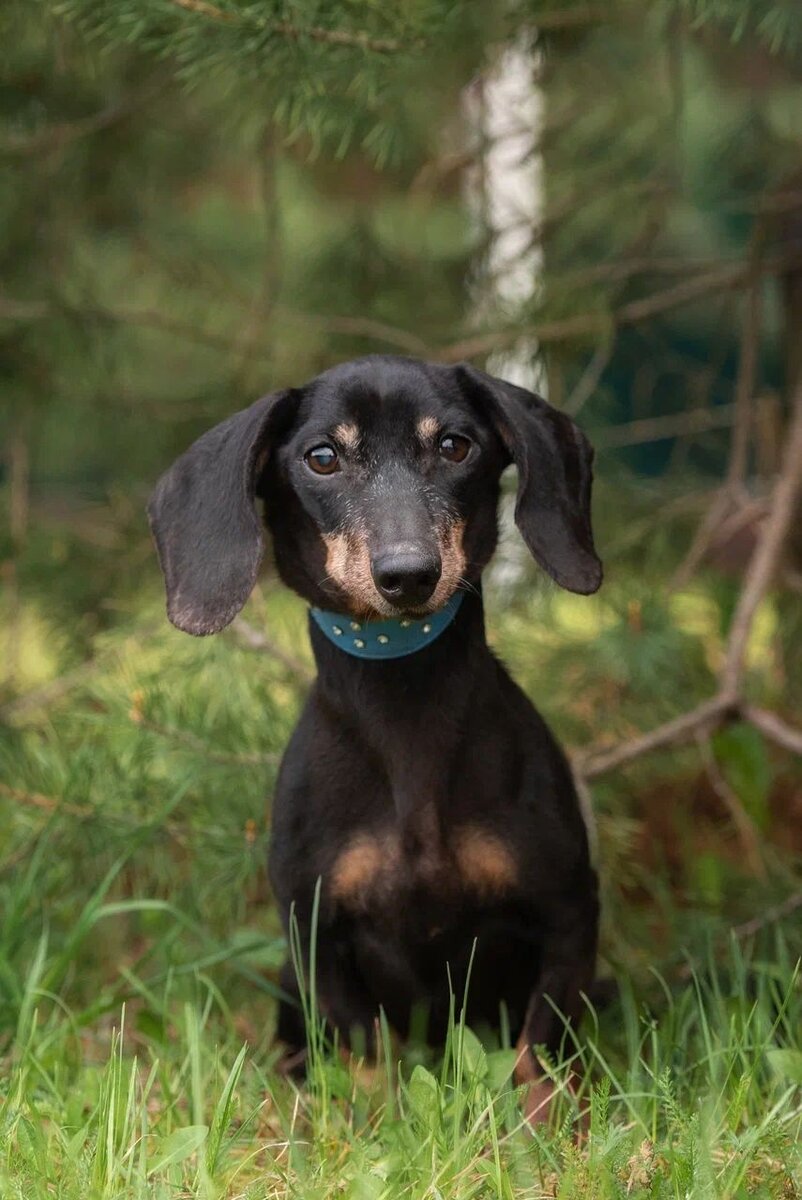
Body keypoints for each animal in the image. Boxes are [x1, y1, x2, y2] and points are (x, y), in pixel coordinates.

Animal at [150, 355, 600, 1123]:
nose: (408, 574)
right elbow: (369, 1056)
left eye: (455, 445)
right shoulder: (315, 935)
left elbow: (538, 1051)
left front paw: (542, 1131)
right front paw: (380, 1125)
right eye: (322, 457)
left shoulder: (569, 912)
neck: (403, 703)